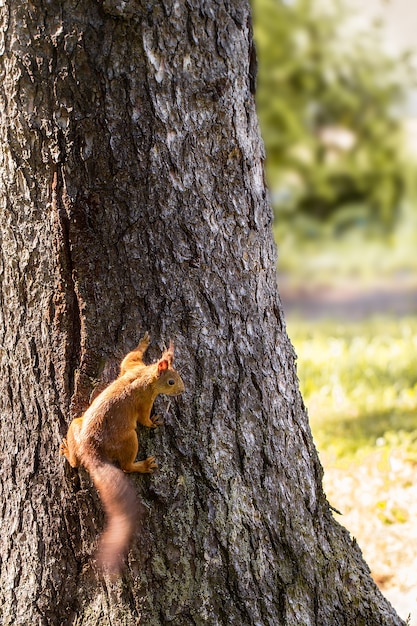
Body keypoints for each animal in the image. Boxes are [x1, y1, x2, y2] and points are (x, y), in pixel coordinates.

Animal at [59, 332, 184, 576]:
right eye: (171, 382)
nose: (182, 390)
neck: (146, 377)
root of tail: (92, 454)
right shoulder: (144, 400)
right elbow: (144, 419)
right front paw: (154, 422)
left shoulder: (132, 367)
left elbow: (129, 357)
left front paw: (143, 343)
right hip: (129, 439)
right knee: (126, 466)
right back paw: (143, 465)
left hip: (75, 425)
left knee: (76, 462)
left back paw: (68, 451)